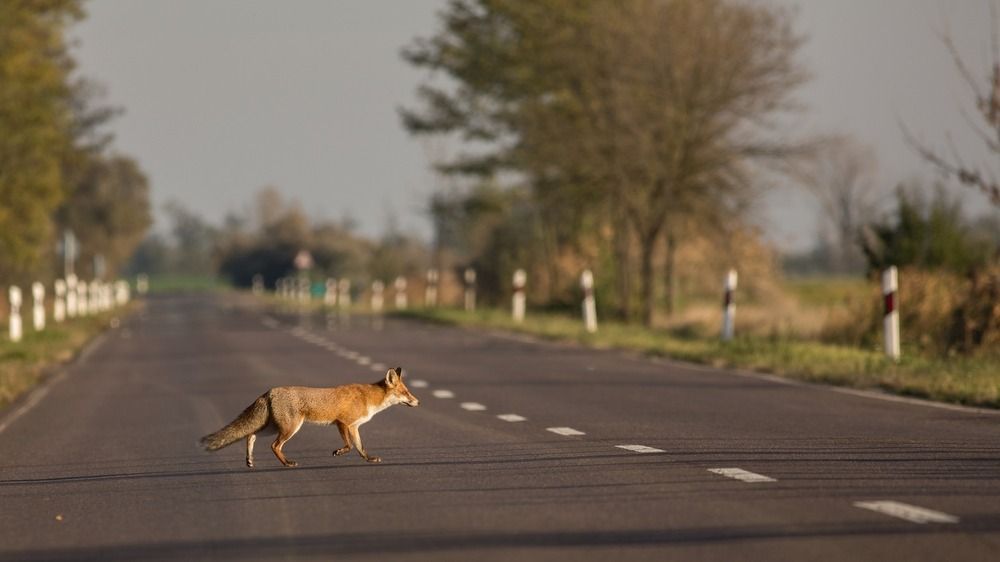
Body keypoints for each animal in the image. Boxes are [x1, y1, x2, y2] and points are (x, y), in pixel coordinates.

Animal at [201, 366, 420, 466]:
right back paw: (287, 463)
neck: (370, 398)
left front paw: (369, 459)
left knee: (249, 435)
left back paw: (249, 460)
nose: (418, 402)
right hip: (290, 428)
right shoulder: (343, 423)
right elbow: (349, 446)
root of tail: (269, 391)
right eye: (406, 392)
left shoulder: (354, 427)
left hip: (273, 427)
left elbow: (360, 447)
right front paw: (338, 452)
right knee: (274, 446)